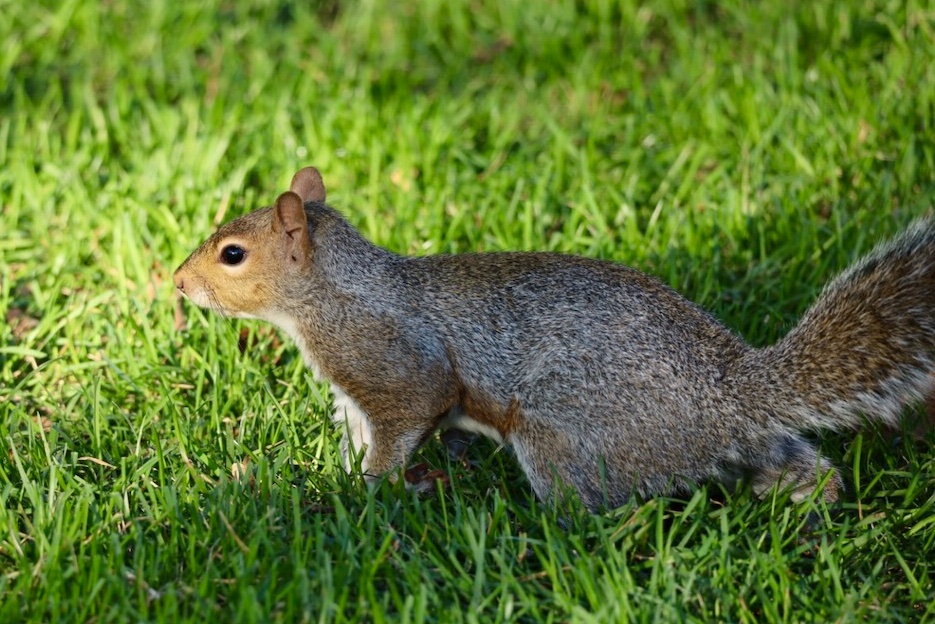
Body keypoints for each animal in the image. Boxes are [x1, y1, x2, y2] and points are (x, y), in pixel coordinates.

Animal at [174, 166, 935, 511]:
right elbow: (360, 435)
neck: (327, 294)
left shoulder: (391, 364)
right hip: (748, 443)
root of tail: (728, 395)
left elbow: (410, 416)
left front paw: (366, 494)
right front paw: (342, 478)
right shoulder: (355, 396)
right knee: (791, 462)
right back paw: (805, 498)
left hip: (563, 436)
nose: (178, 284)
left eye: (233, 255)